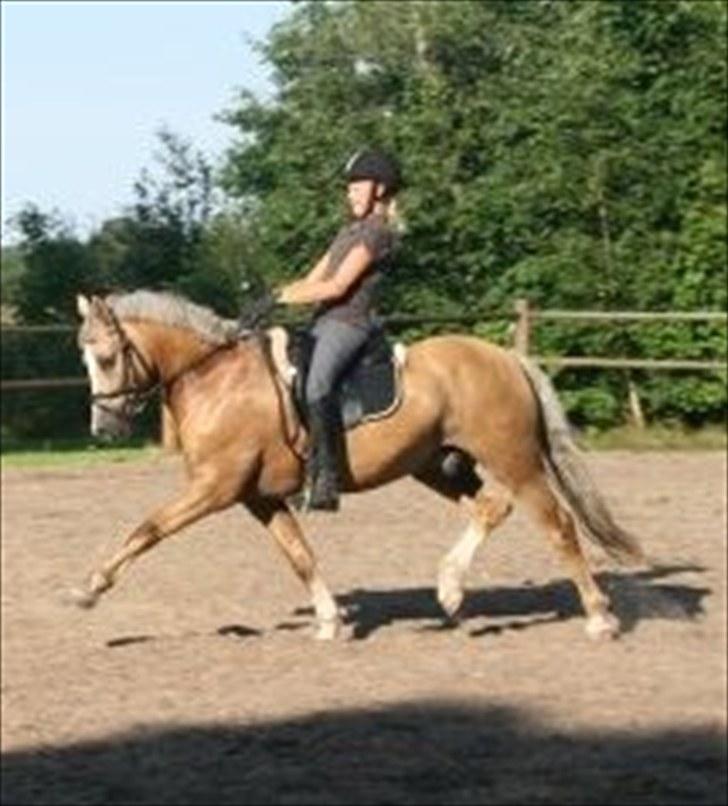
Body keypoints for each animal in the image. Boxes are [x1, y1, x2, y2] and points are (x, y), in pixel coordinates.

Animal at [70, 289, 646, 641]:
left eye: (105, 358)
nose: (103, 430)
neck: (216, 378)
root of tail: (506, 357)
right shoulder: (258, 497)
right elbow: (299, 555)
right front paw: (328, 621)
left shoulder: (215, 488)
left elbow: (147, 530)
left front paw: (89, 588)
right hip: (436, 464)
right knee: (490, 508)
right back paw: (450, 589)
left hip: (516, 460)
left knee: (559, 525)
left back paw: (599, 618)